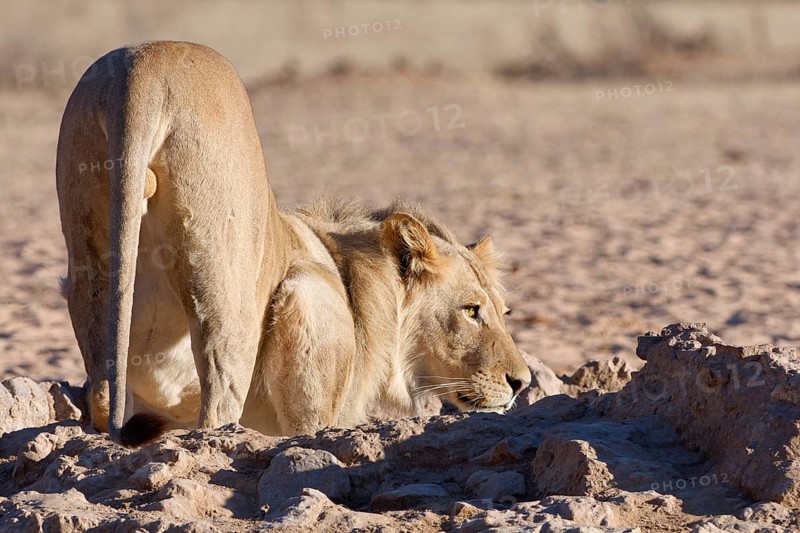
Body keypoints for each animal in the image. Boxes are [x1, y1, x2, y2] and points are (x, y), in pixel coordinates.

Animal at [56, 41, 531, 445]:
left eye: (504, 312)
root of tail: (144, 71)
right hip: (227, 282)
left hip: (89, 252)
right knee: (217, 405)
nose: (521, 383)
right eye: (471, 311)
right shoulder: (308, 304)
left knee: (102, 390)